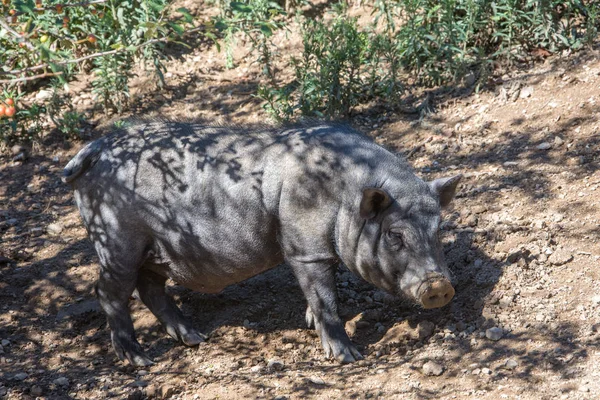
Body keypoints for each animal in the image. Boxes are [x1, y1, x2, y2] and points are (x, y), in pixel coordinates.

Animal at [63, 121, 462, 366]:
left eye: (438, 228)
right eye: (395, 234)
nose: (439, 287)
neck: (345, 197)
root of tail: (92, 150)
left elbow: (324, 292)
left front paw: (309, 324)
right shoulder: (305, 250)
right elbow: (325, 297)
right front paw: (349, 357)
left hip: (156, 249)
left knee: (150, 288)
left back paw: (195, 338)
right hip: (116, 241)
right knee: (108, 291)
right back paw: (142, 360)